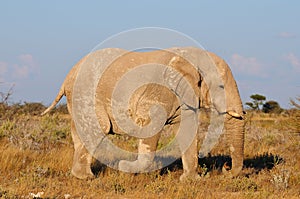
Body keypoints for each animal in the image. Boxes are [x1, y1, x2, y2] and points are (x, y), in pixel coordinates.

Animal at [41, 47, 244, 180]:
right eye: (221, 86)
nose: (226, 168)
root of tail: (68, 75)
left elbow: (187, 130)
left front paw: (191, 181)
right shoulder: (159, 91)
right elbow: (149, 125)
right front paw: (124, 167)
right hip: (85, 92)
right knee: (99, 127)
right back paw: (87, 178)